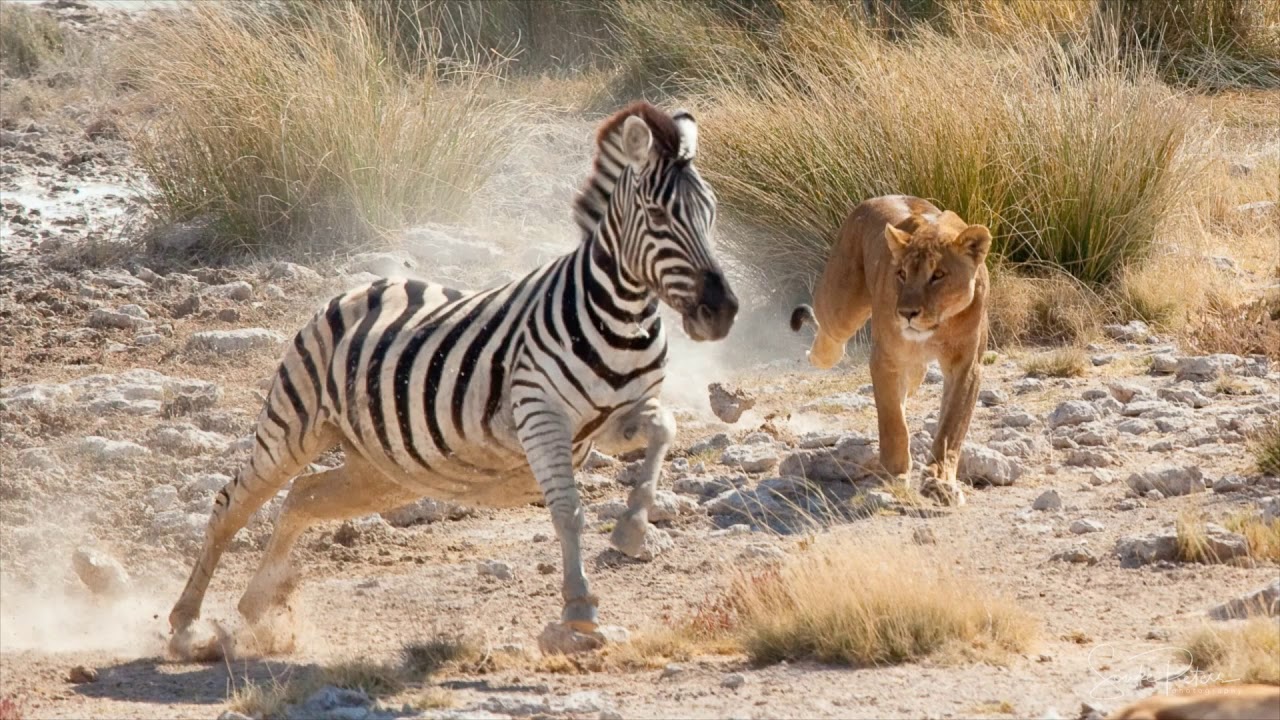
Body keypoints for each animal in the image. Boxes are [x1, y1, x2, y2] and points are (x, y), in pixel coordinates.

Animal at [167, 102, 739, 656]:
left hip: (385, 470)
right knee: (232, 502)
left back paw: (260, 604)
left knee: (304, 495)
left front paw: (632, 531)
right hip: (295, 426)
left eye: (711, 213)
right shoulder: (542, 417)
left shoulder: (613, 422)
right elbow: (568, 511)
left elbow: (664, 428)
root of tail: (359, 288)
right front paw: (579, 611)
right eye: (659, 216)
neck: (620, 315)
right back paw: (186, 624)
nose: (721, 313)